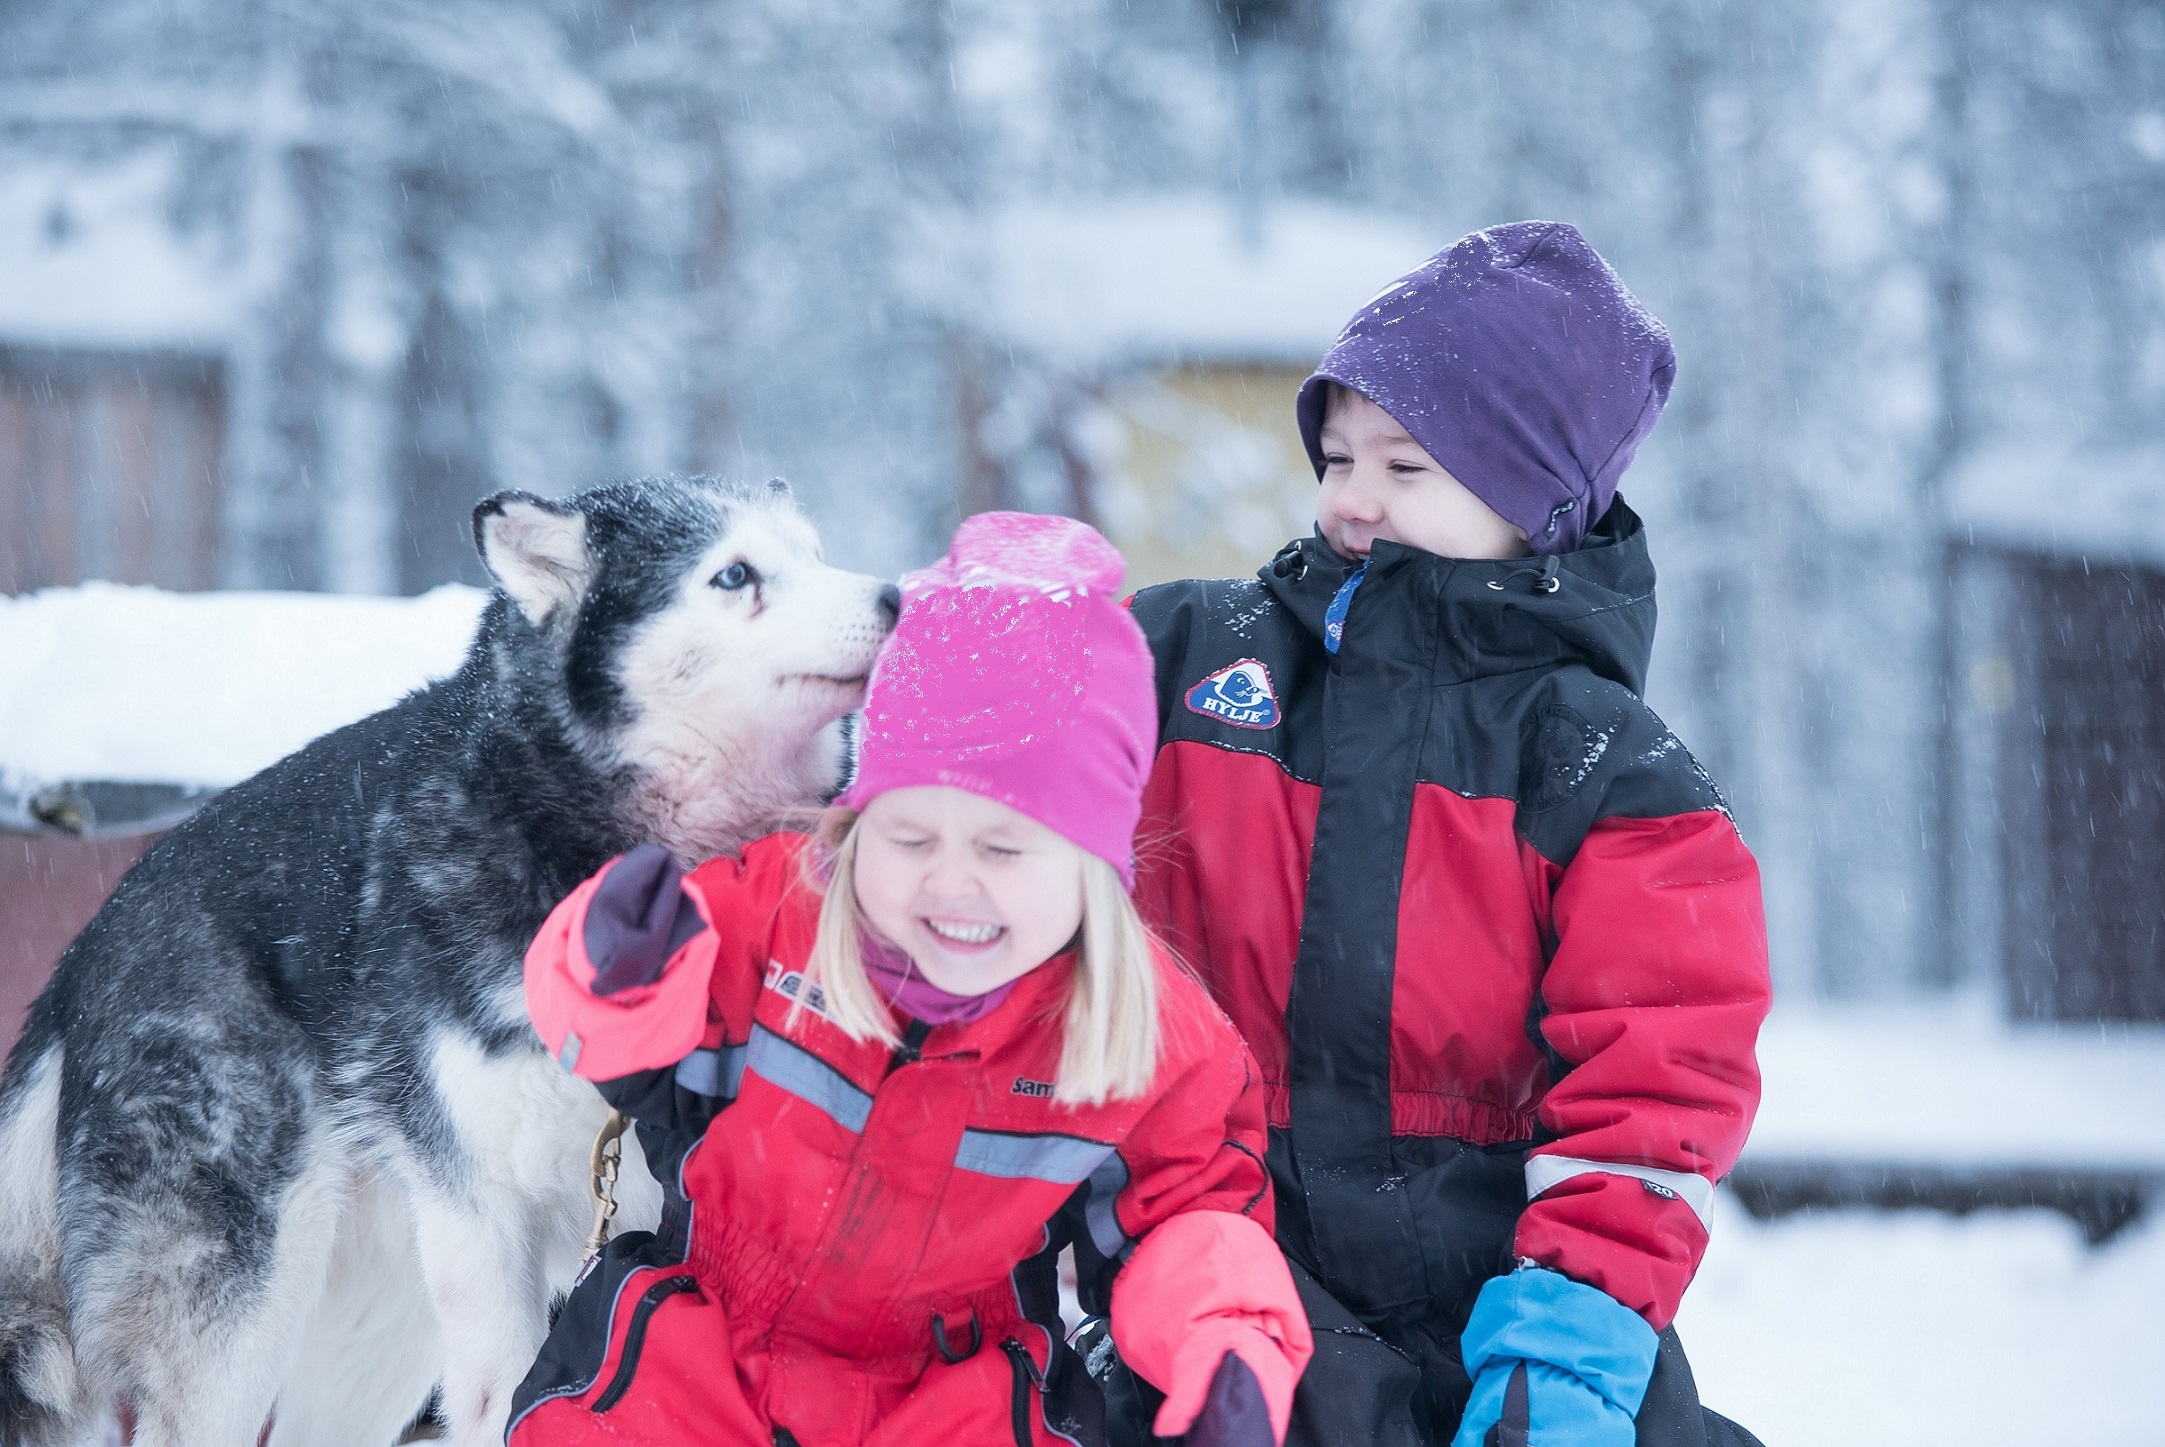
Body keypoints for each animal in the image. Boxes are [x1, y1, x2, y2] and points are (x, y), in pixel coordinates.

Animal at [0, 476, 900, 1447]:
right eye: (734, 574)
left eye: (816, 553)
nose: (896, 596)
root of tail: (83, 953)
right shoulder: (487, 1212)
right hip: (244, 1315)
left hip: (378, 1325)